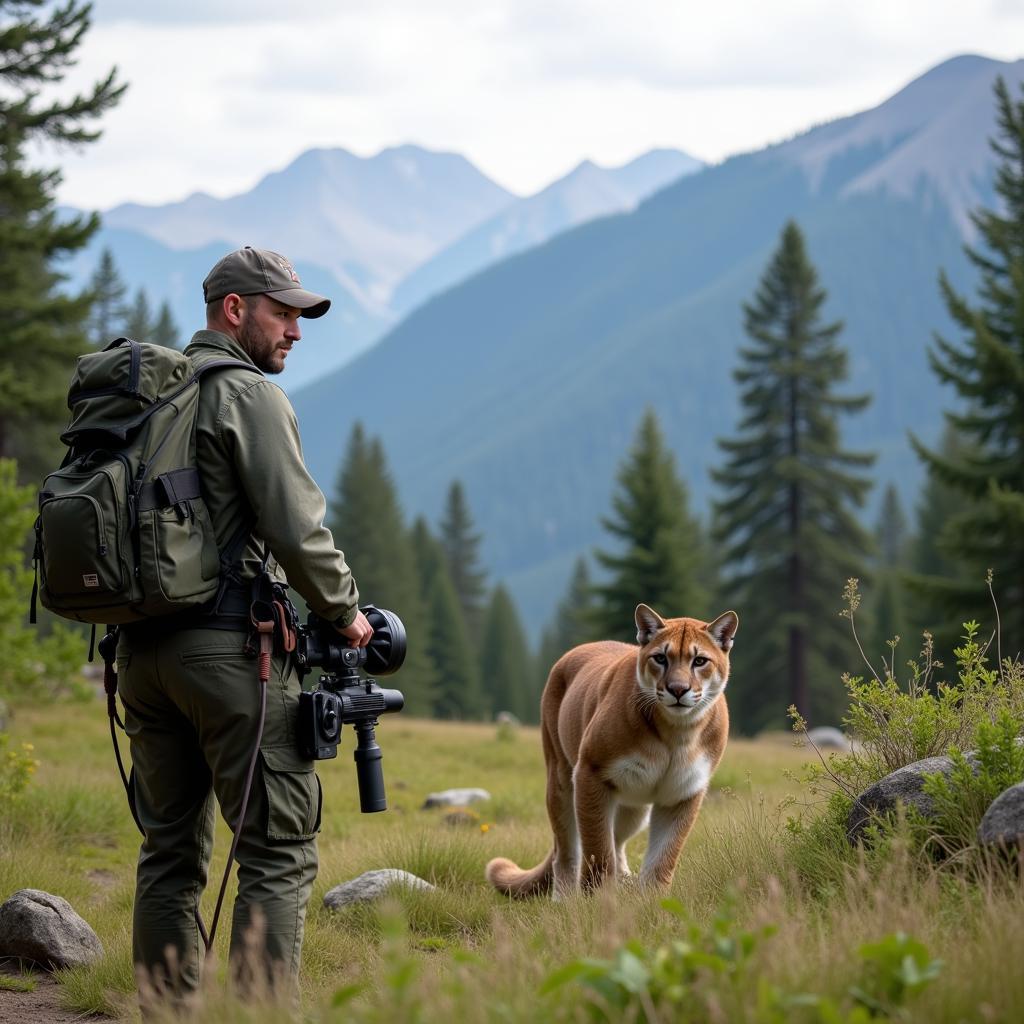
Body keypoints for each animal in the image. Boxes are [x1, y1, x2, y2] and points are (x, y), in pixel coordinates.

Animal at [487, 602, 737, 901]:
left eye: (699, 661)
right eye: (661, 658)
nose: (678, 689)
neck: (676, 733)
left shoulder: (682, 792)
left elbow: (664, 855)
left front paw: (653, 902)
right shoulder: (591, 773)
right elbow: (597, 847)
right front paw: (598, 901)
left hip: (634, 806)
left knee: (617, 843)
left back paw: (626, 881)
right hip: (560, 780)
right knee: (566, 850)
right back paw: (564, 899)